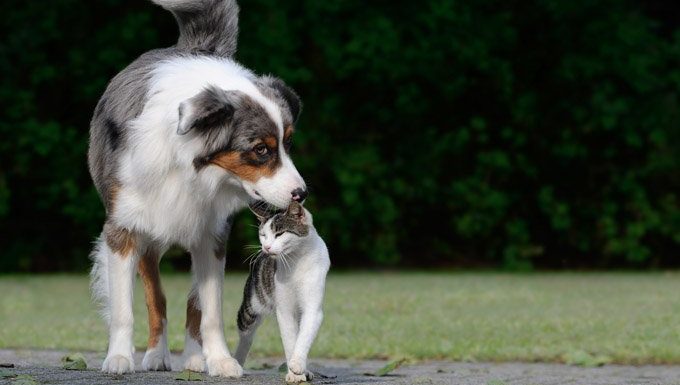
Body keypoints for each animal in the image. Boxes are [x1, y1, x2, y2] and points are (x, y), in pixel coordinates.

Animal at [87, 0, 306, 376]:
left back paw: (192, 357)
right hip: (150, 235)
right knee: (156, 296)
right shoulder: (124, 229)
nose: (301, 193)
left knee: (194, 303)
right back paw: (157, 354)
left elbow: (210, 310)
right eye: (261, 150)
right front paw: (118, 358)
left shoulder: (212, 236)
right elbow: (125, 308)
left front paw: (219, 360)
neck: (189, 167)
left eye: (287, 143)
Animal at [234, 201, 330, 380]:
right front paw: (294, 375)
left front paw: (298, 366)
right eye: (263, 235)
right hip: (250, 307)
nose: (266, 247)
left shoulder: (313, 308)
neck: (297, 260)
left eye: (279, 234)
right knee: (246, 337)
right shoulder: (284, 310)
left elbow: (303, 337)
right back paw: (235, 363)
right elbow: (290, 340)